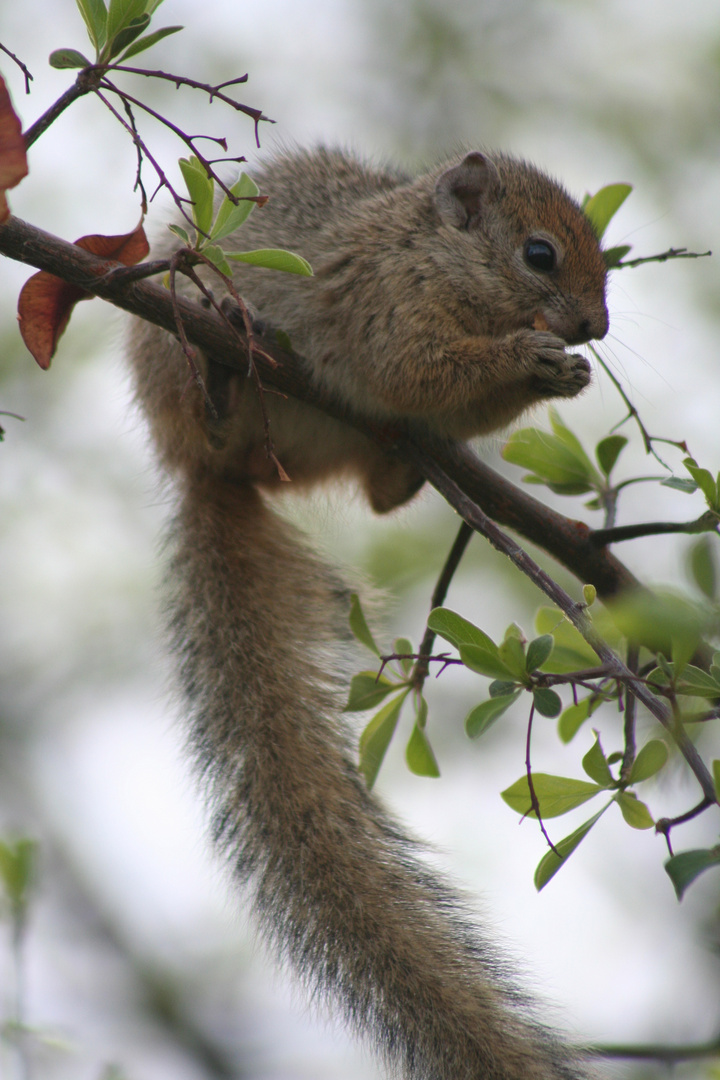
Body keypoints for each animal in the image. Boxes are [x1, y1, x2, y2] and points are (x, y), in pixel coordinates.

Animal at [127, 150, 608, 1080]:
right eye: (539, 255)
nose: (594, 329)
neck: (435, 255)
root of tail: (209, 477)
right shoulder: (389, 304)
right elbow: (415, 367)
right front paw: (526, 358)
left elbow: (440, 397)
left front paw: (558, 373)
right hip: (188, 369)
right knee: (217, 416)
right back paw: (221, 379)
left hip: (342, 443)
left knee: (383, 474)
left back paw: (406, 470)